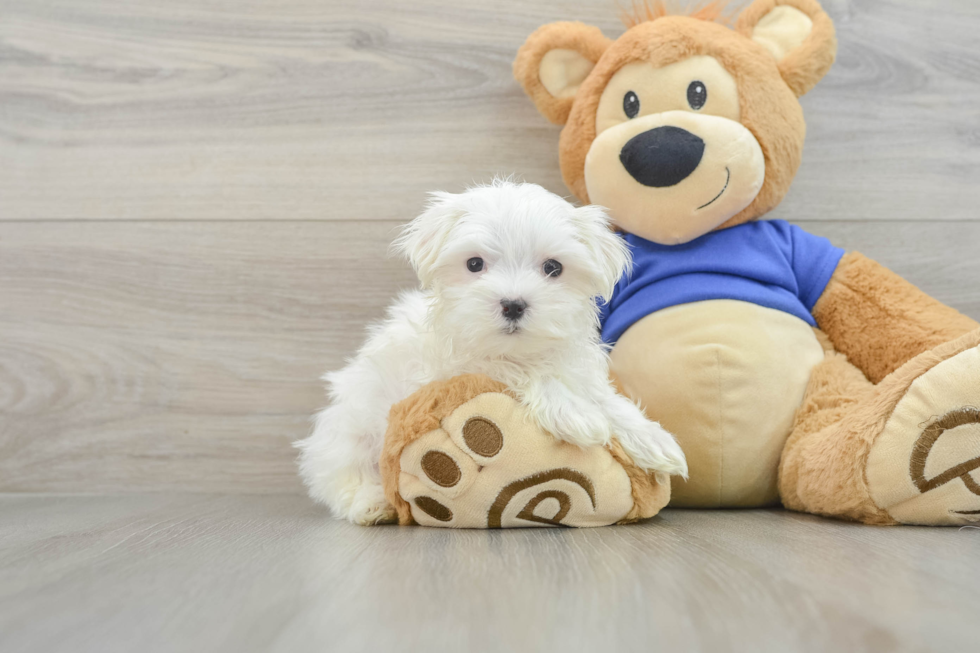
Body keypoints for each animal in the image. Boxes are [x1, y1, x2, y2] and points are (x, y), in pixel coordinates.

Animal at [298, 180, 688, 524]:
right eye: (474, 264)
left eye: (553, 267)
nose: (513, 304)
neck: (516, 348)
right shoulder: (451, 369)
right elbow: (521, 371)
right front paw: (575, 414)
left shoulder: (575, 366)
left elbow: (604, 398)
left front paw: (651, 438)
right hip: (350, 433)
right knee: (343, 477)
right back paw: (373, 503)